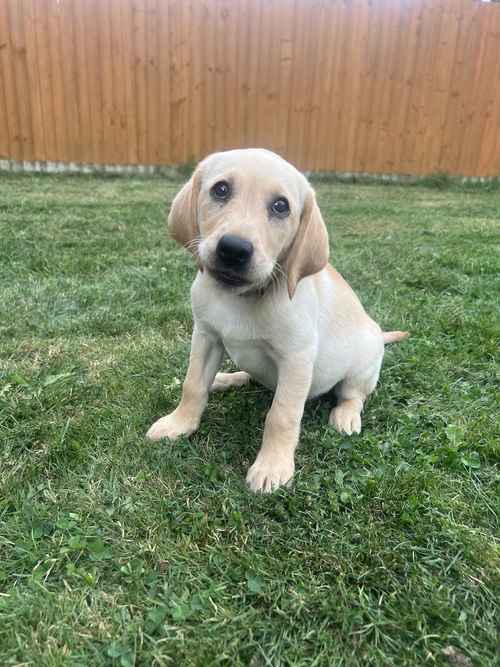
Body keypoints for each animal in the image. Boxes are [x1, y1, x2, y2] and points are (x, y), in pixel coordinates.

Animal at [146, 149, 408, 494]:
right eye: (220, 189)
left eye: (280, 206)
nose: (234, 249)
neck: (241, 298)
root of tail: (378, 335)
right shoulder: (205, 336)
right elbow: (193, 385)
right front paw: (179, 424)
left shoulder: (297, 358)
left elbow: (281, 415)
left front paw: (272, 466)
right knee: (248, 374)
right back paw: (225, 379)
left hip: (363, 364)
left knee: (354, 394)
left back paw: (346, 416)